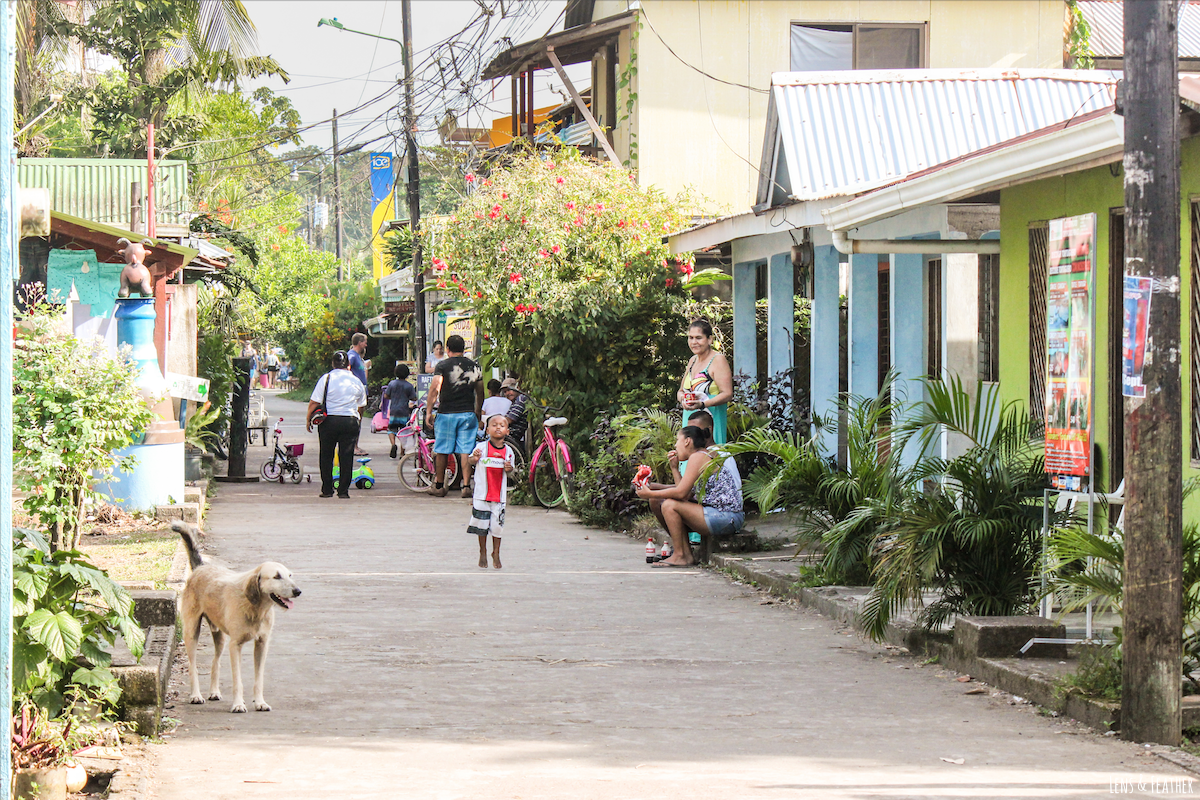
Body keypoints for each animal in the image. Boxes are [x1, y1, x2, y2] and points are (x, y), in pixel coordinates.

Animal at [172, 522, 300, 714]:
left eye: (289, 575)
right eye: (276, 576)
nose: (298, 591)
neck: (255, 608)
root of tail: (200, 567)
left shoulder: (262, 644)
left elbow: (258, 679)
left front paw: (260, 702)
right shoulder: (235, 646)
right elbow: (237, 680)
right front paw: (238, 704)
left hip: (220, 637)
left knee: (215, 662)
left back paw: (214, 692)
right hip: (191, 633)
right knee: (192, 666)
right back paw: (196, 695)